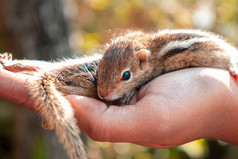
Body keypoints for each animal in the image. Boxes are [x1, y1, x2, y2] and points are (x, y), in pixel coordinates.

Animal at [96, 29, 238, 103]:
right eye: (100, 68)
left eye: (126, 75)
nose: (102, 94)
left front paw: (127, 95)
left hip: (212, 56)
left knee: (229, 58)